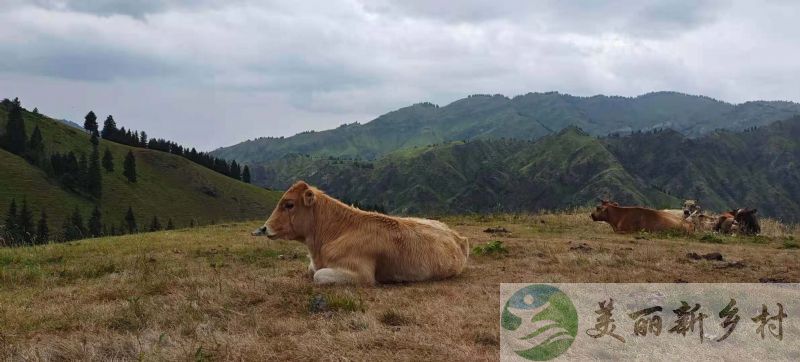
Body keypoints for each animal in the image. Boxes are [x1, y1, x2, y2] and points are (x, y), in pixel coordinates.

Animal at [250, 181, 468, 286]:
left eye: (289, 204)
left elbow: (318, 275)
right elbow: (311, 270)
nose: (264, 228)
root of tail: (458, 236)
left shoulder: (361, 274)